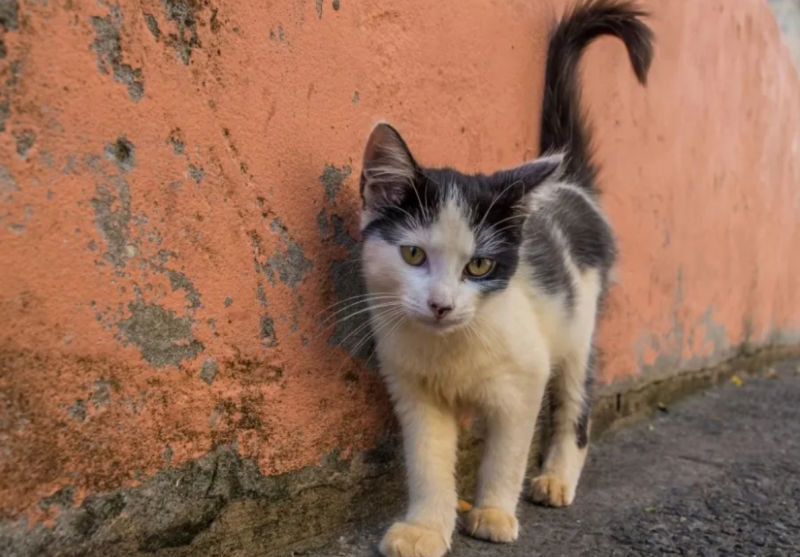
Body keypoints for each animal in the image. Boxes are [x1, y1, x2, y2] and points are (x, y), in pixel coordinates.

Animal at [360, 2, 652, 552]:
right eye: (413, 254)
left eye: (479, 265)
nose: (441, 305)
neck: (452, 347)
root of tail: (571, 186)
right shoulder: (413, 389)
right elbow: (427, 460)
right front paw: (426, 527)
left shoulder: (525, 378)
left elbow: (506, 453)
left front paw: (494, 513)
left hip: (580, 324)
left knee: (576, 402)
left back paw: (556, 478)